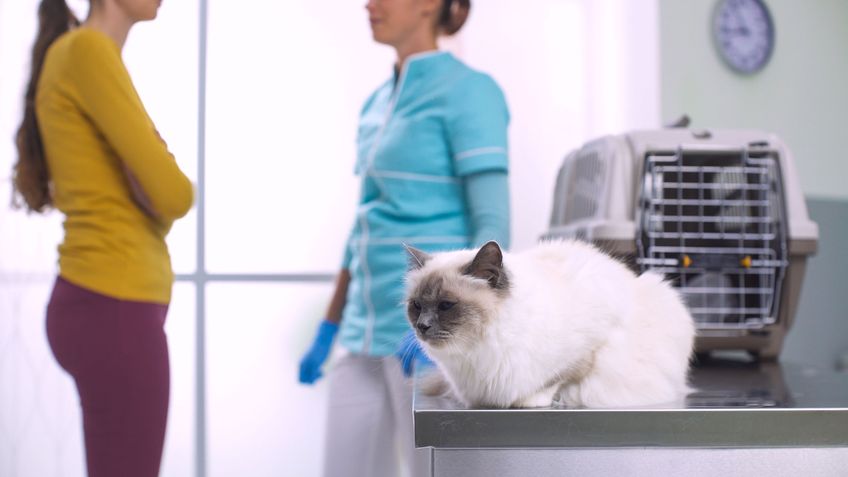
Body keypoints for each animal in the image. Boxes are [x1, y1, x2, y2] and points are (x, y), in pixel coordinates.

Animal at [404, 240, 696, 408]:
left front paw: (533, 401)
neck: (477, 350)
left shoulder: (587, 350)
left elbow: (557, 380)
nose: (422, 326)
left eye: (445, 305)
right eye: (417, 305)